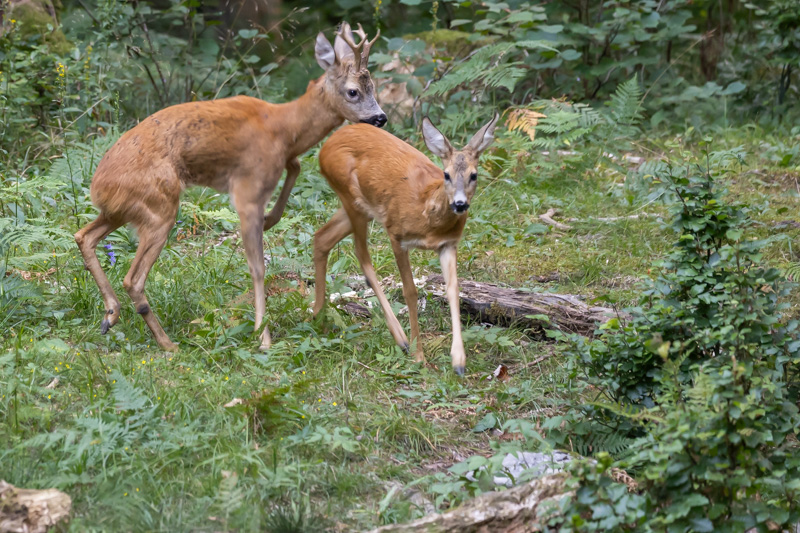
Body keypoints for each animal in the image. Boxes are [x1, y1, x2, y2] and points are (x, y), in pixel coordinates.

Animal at [75, 22, 388, 352]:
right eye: (353, 91)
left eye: (373, 87)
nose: (380, 117)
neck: (284, 128)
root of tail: (98, 185)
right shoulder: (248, 190)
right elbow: (257, 266)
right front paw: (263, 337)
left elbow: (296, 167)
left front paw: (271, 218)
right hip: (159, 207)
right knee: (132, 278)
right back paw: (168, 345)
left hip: (123, 209)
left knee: (84, 236)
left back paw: (111, 315)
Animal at [316, 112, 496, 374]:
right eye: (446, 174)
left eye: (474, 175)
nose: (460, 204)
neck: (428, 216)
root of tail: (327, 144)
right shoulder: (397, 236)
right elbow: (410, 291)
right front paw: (419, 355)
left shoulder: (448, 244)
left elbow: (453, 290)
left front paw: (459, 361)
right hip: (352, 198)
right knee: (361, 254)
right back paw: (401, 339)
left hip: (361, 208)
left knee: (321, 238)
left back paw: (317, 314)